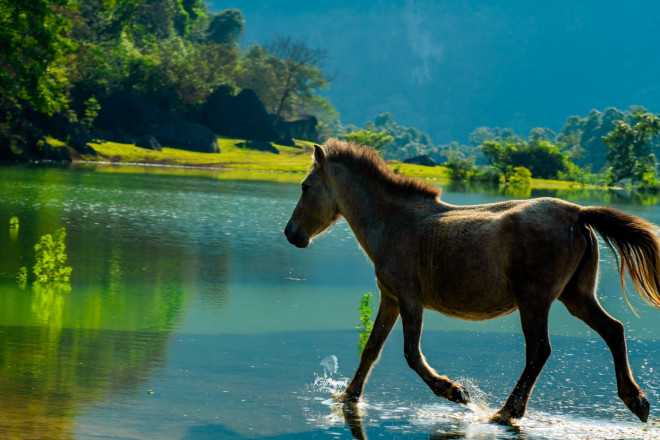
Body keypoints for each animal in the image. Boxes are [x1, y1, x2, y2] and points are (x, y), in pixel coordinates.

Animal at [284, 139, 660, 424]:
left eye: (305, 186)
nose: (291, 233)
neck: (393, 223)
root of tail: (579, 213)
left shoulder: (409, 298)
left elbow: (411, 353)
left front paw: (455, 392)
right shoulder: (389, 298)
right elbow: (371, 348)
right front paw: (348, 396)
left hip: (535, 299)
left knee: (539, 350)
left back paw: (506, 411)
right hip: (576, 296)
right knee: (613, 330)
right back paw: (637, 401)